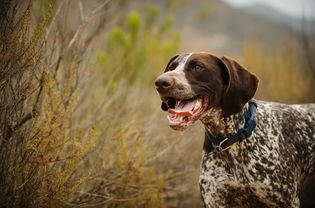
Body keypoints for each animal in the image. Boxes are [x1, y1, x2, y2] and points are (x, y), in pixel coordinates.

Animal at [156, 51, 315, 206]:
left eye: (197, 67)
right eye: (171, 67)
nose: (160, 82)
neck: (230, 139)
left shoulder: (286, 201)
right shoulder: (214, 199)